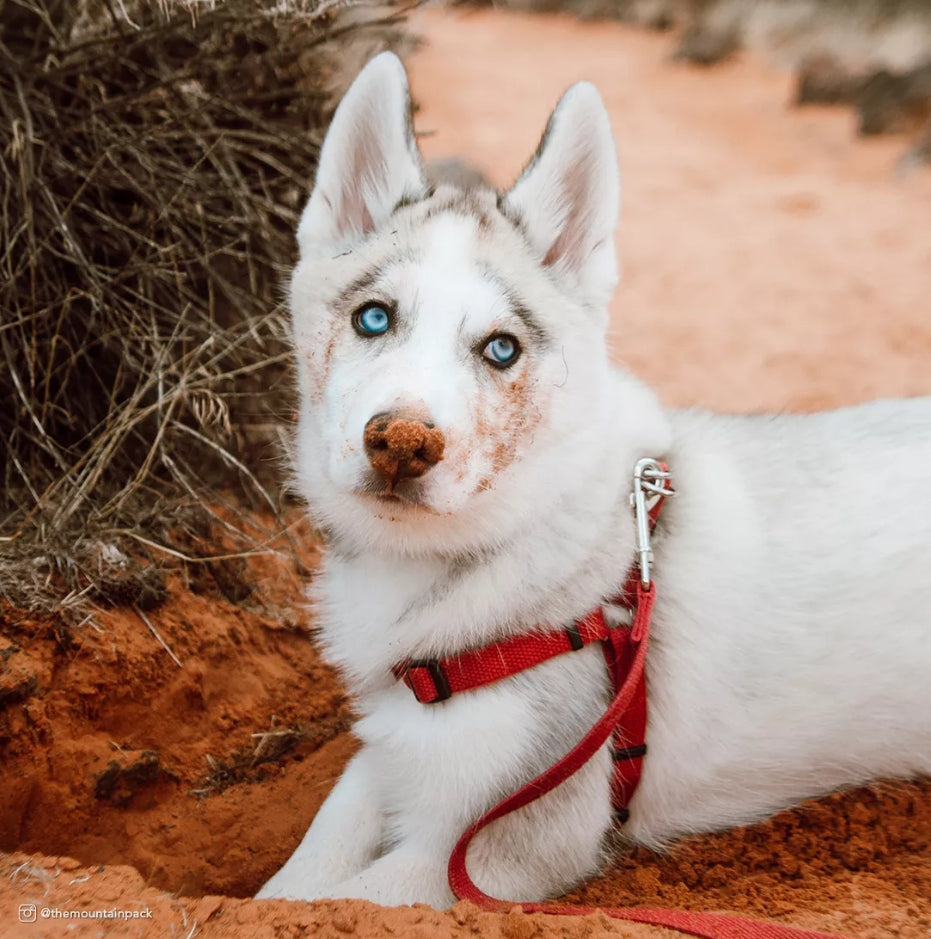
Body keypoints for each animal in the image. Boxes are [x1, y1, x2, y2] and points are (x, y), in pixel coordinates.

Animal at [258, 49, 931, 912]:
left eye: (501, 348)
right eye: (373, 317)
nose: (401, 443)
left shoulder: (497, 851)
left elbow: (339, 899)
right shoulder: (396, 747)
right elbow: (293, 879)